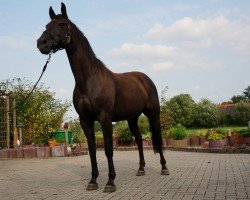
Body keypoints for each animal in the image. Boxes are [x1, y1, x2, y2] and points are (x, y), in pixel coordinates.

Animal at [37, 3, 169, 193]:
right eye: (47, 25)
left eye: (62, 24)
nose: (42, 43)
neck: (89, 79)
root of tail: (145, 79)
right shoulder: (85, 120)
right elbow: (92, 151)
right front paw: (93, 181)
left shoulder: (105, 118)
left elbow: (108, 150)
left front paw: (110, 182)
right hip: (132, 119)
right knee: (138, 140)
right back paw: (141, 169)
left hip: (153, 114)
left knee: (158, 139)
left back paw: (164, 168)